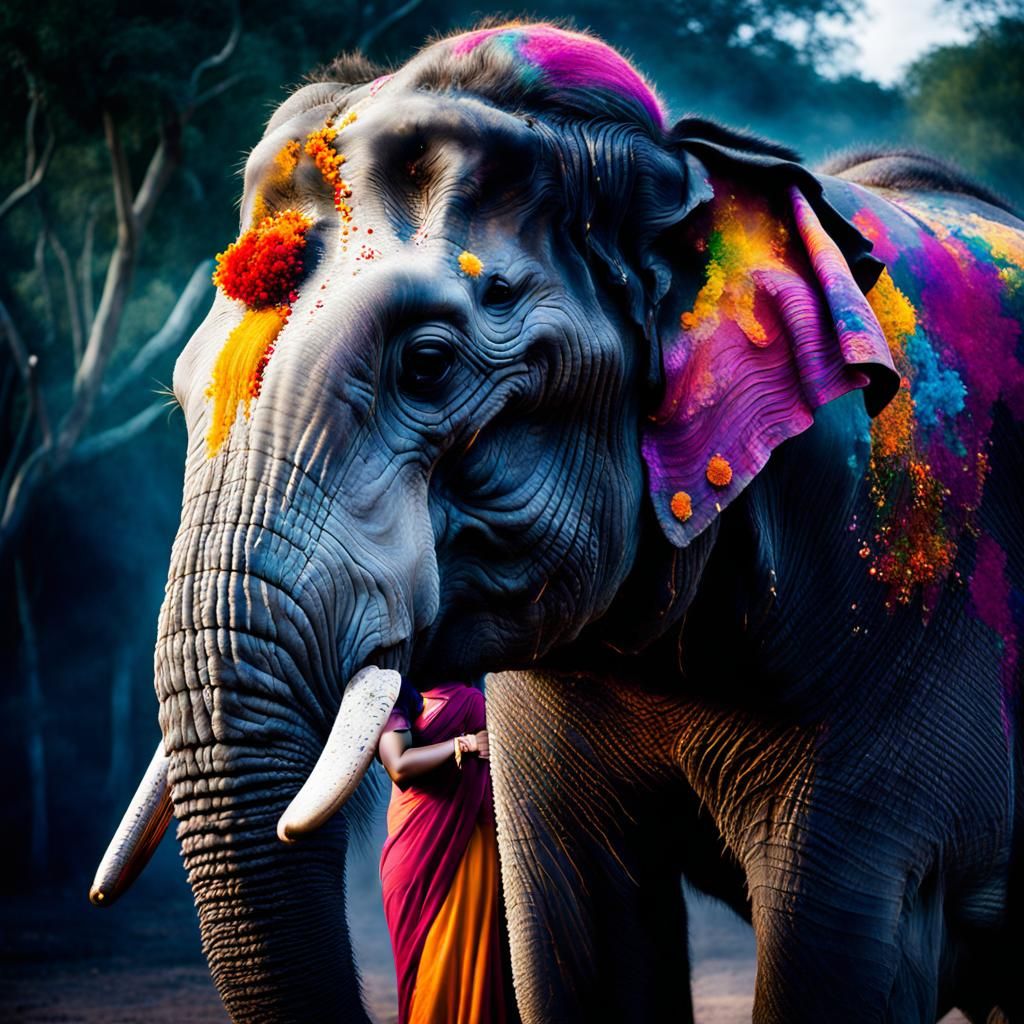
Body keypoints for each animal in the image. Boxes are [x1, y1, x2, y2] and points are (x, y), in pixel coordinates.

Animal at [90, 21, 1024, 1024]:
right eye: (181, 391)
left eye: (426, 366)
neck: (688, 172)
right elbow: (581, 939)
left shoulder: (892, 624)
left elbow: (834, 948)